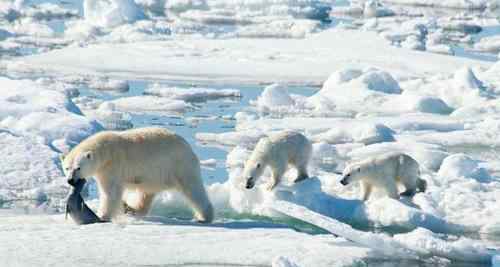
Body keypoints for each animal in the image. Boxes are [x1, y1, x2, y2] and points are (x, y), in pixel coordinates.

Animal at [61, 126, 213, 223]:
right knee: (146, 194)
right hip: (154, 175)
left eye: (78, 168)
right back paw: (131, 209)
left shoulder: (112, 167)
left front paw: (102, 215)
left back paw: (204, 217)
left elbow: (110, 192)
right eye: (67, 168)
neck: (105, 150)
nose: (70, 181)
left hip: (178, 166)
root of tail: (188, 147)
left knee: (193, 189)